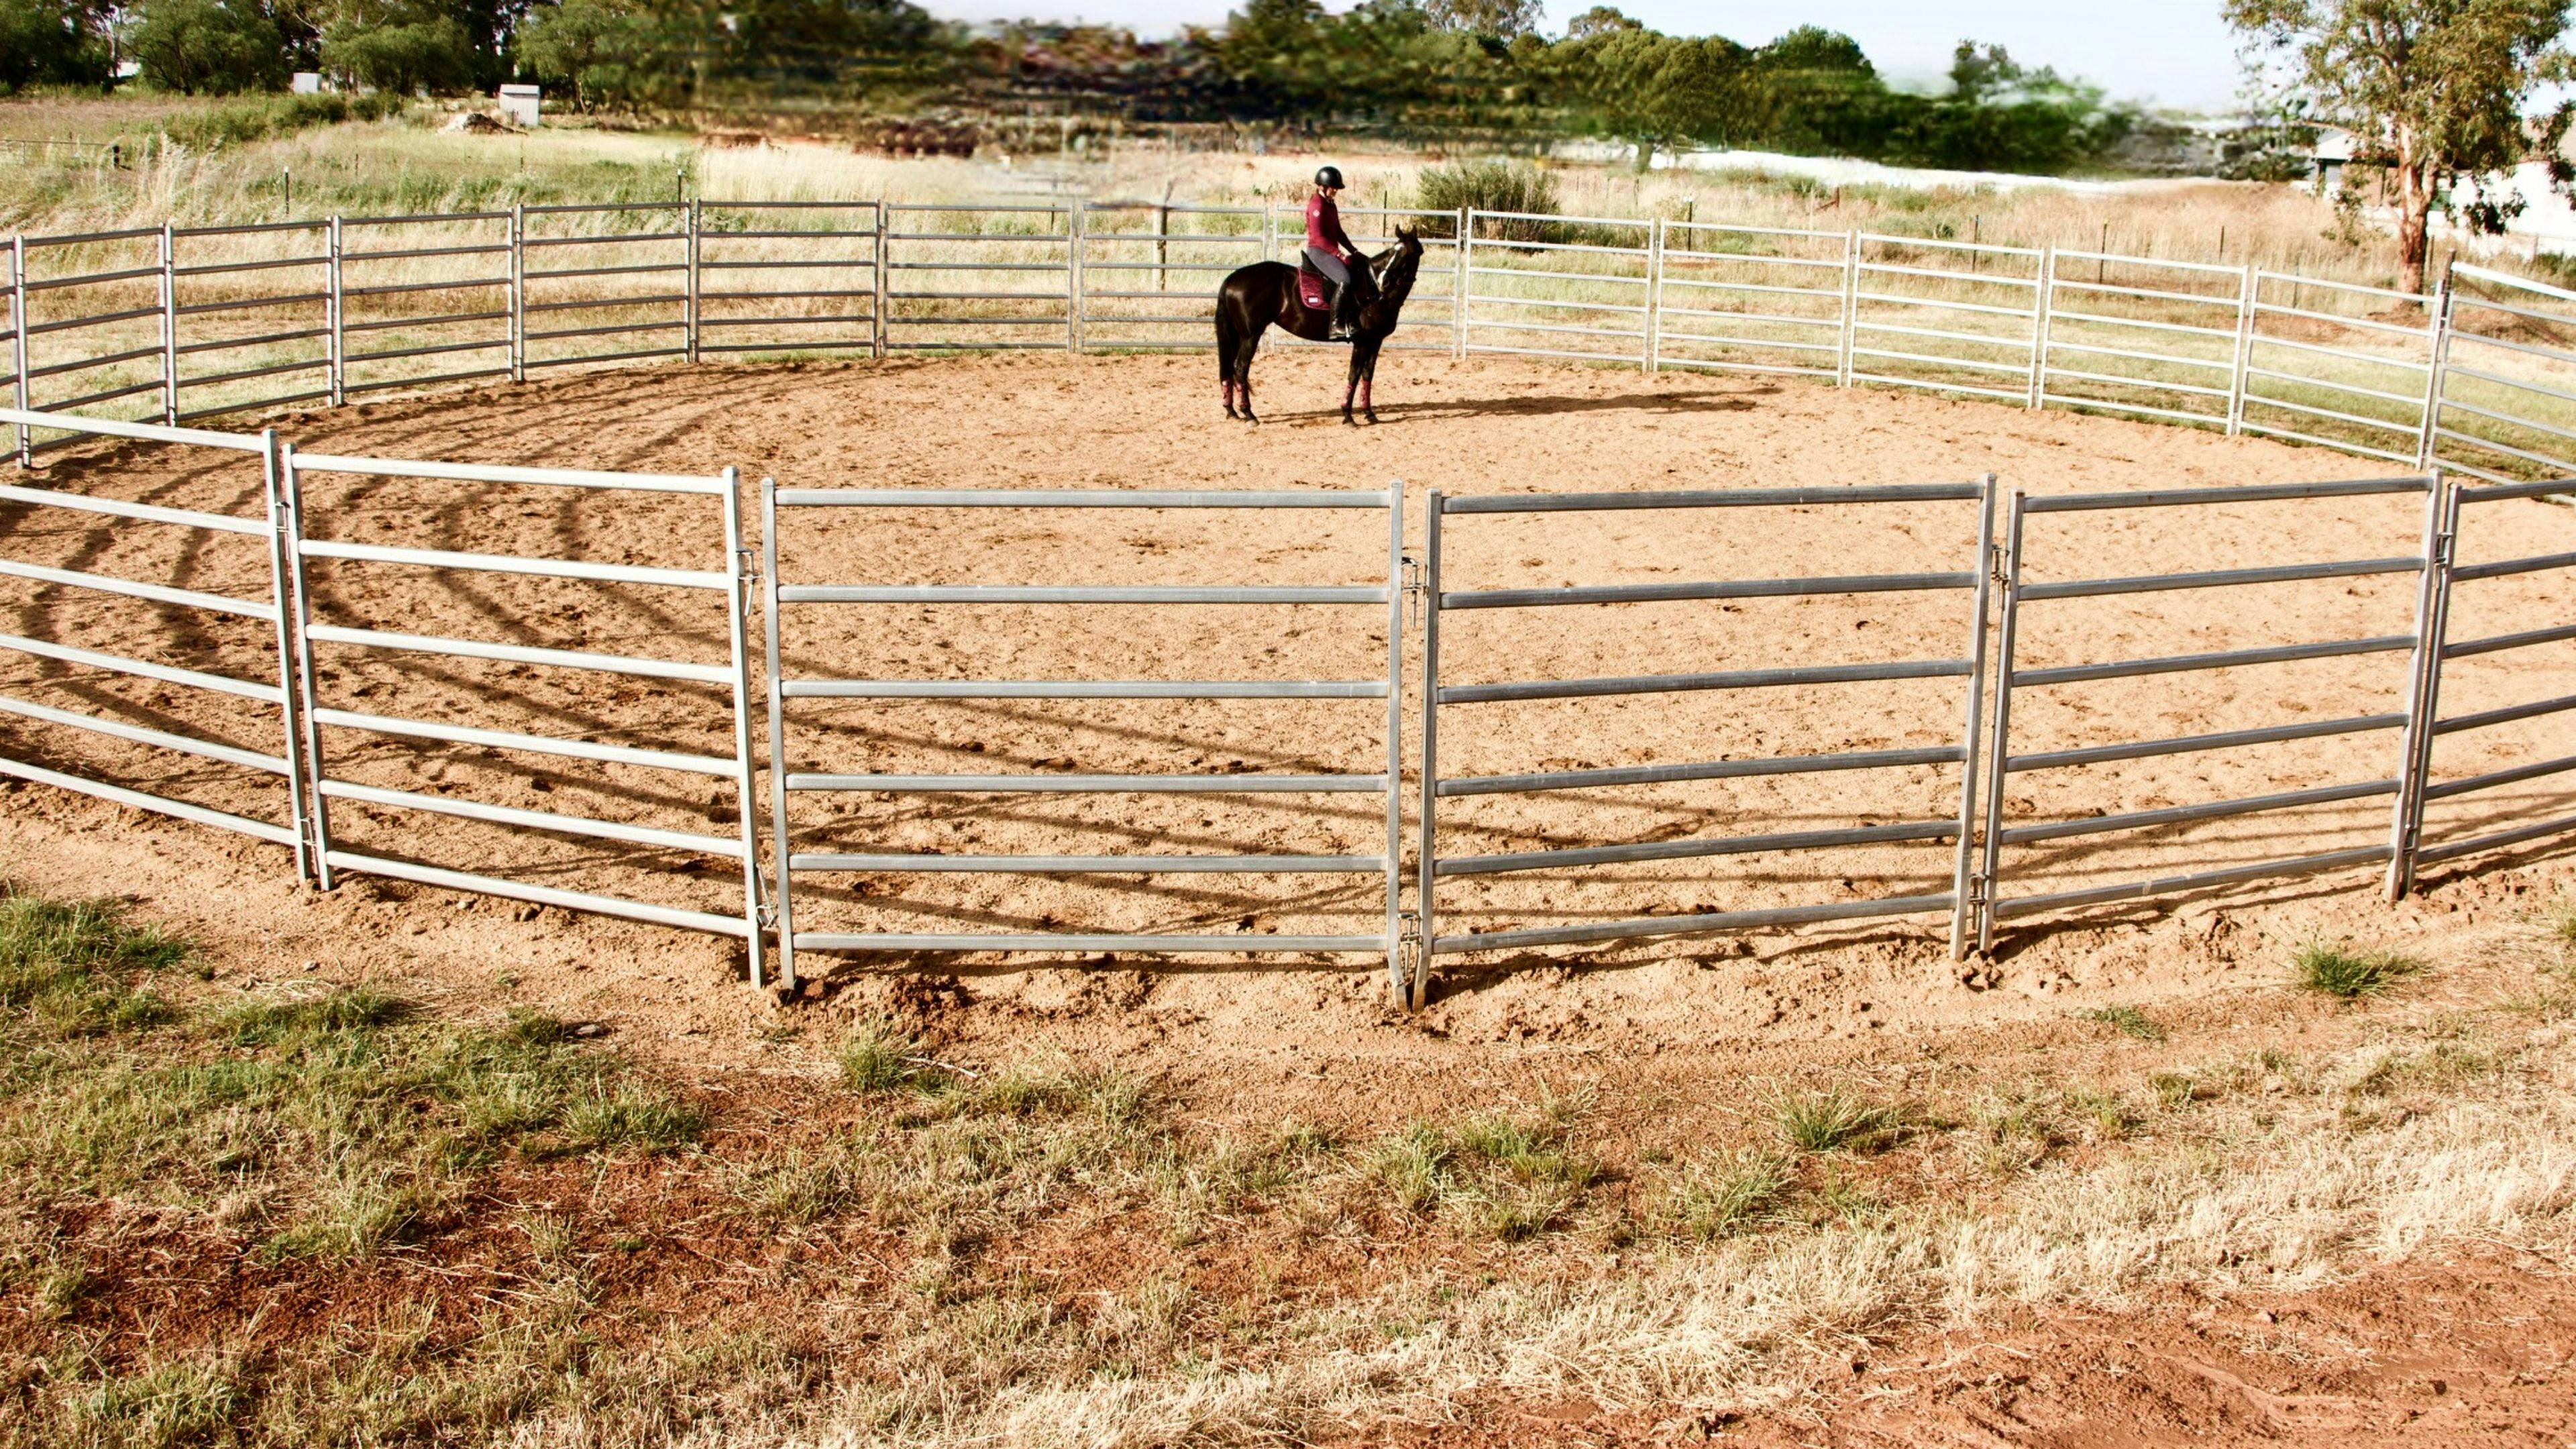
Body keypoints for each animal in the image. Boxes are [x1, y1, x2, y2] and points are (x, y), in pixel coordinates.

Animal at [1214, 228, 1423, 425]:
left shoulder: (1375, 341)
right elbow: (1354, 374)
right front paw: (1348, 415)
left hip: (1237, 335)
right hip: (1250, 335)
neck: (1373, 292)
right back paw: (1249, 414)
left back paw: (1231, 411)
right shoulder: (1362, 342)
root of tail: (1233, 278)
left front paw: (1369, 413)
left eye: (1407, 254)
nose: (1384, 281)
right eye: (1394, 252)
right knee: (1241, 367)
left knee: (1229, 367)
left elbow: (1367, 374)